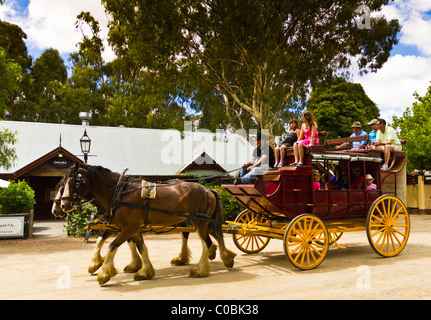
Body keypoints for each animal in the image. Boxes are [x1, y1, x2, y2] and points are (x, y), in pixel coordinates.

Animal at [60, 162, 236, 284]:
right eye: (62, 183)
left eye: (74, 182)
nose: (62, 205)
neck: (120, 193)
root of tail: (208, 189)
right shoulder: (131, 228)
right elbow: (140, 248)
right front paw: (144, 271)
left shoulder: (129, 227)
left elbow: (112, 246)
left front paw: (104, 274)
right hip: (201, 222)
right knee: (212, 238)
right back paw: (222, 257)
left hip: (200, 221)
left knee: (207, 242)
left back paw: (200, 270)